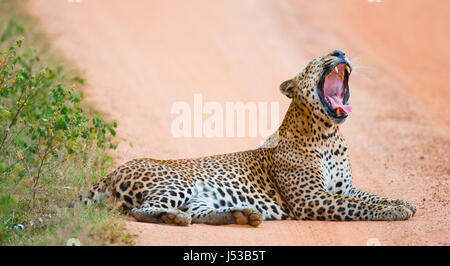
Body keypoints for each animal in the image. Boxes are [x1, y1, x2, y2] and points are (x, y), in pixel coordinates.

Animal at [81, 50, 418, 227]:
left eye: (336, 52)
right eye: (313, 62)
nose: (339, 52)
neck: (328, 136)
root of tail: (111, 172)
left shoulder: (343, 187)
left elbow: (371, 196)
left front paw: (402, 202)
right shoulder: (310, 198)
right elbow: (356, 206)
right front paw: (393, 211)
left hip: (200, 196)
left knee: (200, 214)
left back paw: (242, 214)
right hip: (178, 183)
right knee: (140, 211)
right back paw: (174, 218)